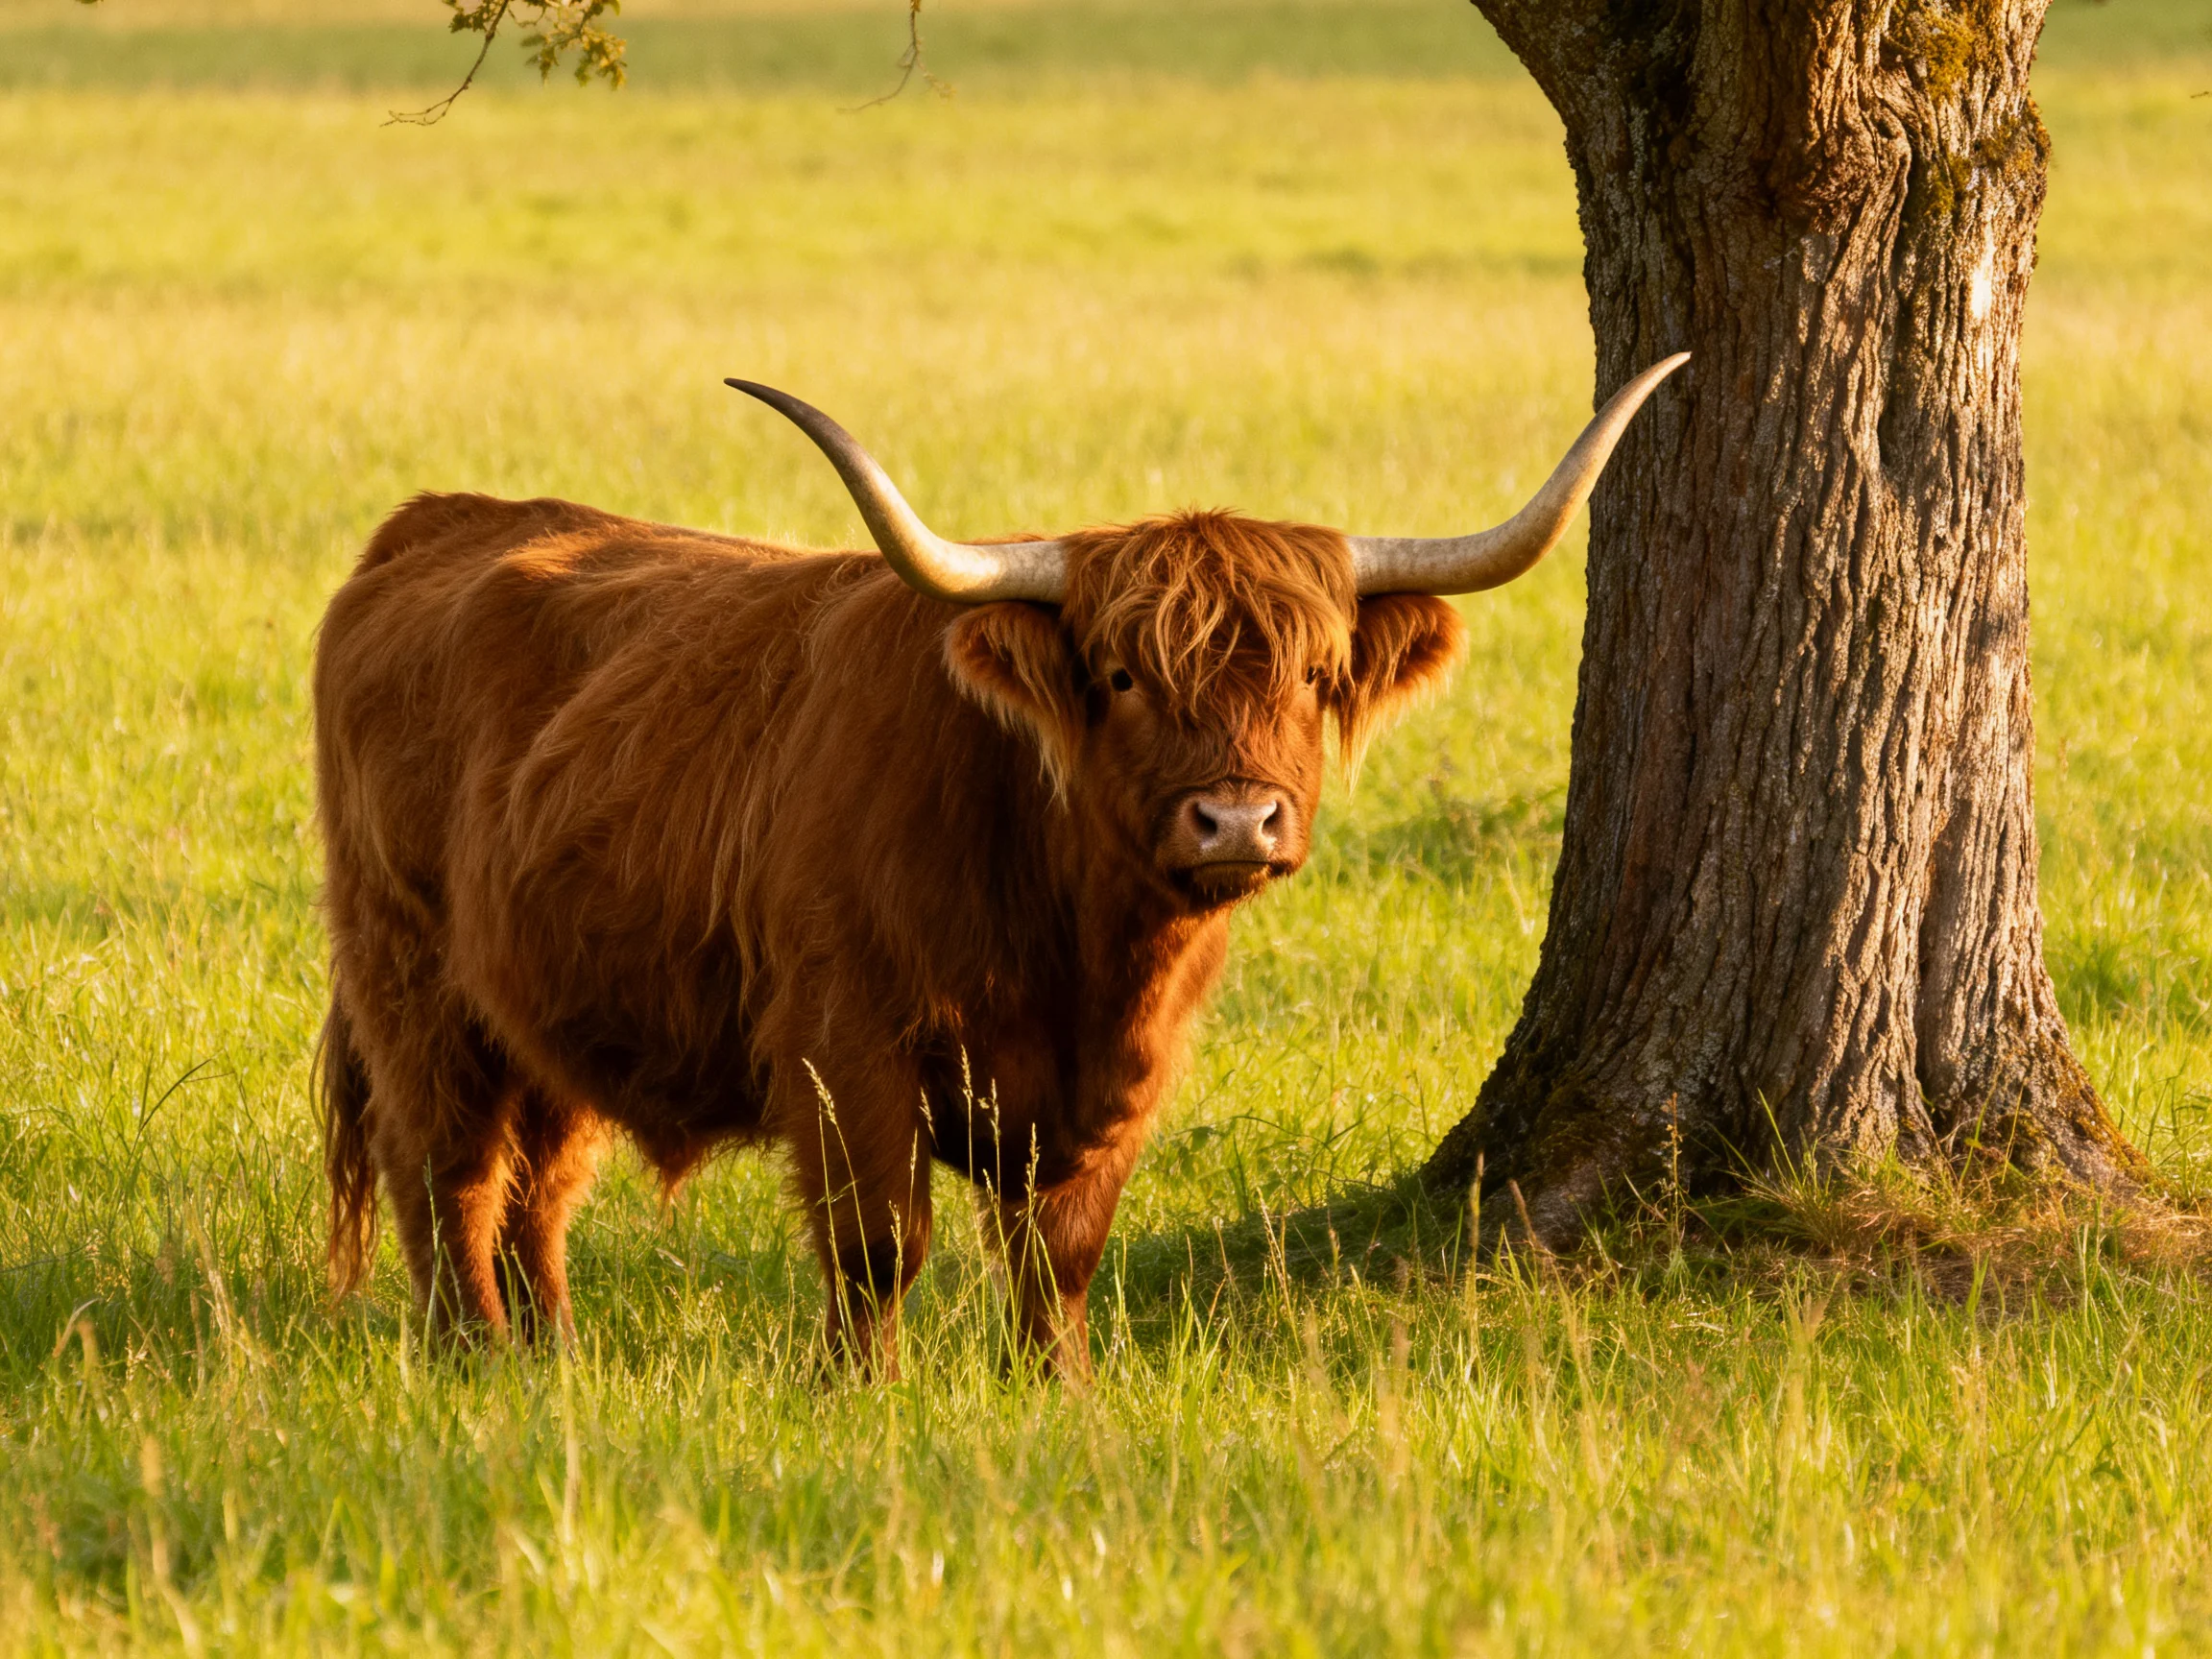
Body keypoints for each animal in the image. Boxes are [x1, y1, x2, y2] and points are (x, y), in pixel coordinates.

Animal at [314, 355, 1687, 1378]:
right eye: (1123, 676)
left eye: (1310, 674)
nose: (1236, 823)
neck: (1072, 940)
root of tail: (435, 524)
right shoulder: (845, 1040)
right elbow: (879, 1238)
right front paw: (855, 1389)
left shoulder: (1121, 1073)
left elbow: (1061, 1246)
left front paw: (1055, 1385)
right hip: (408, 969)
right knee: (446, 1161)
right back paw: (473, 1352)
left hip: (547, 995)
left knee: (540, 1175)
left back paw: (545, 1350)